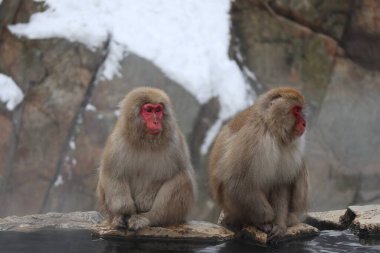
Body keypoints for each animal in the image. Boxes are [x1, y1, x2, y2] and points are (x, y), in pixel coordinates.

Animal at [97, 87, 196, 231]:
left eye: (158, 110)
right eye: (148, 110)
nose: (156, 122)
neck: (146, 142)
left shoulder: (175, 143)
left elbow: (171, 173)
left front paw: (145, 200)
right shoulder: (117, 143)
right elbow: (112, 173)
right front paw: (124, 211)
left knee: (183, 178)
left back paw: (149, 218)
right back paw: (117, 217)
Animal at [208, 87, 308, 241]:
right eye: (296, 110)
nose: (304, 123)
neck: (272, 129)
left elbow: (281, 184)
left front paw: (279, 224)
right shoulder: (254, 139)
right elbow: (238, 183)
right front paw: (267, 218)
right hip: (233, 206)